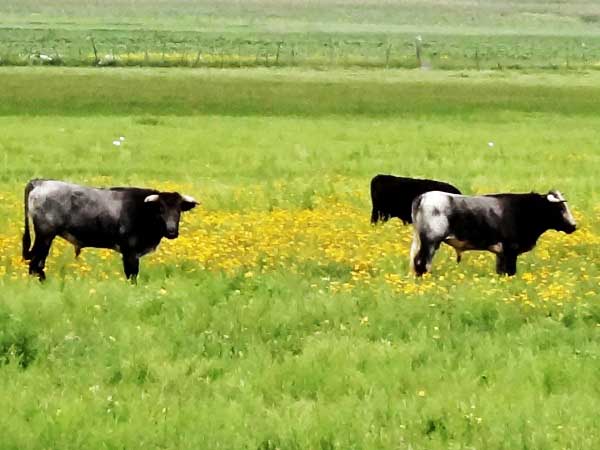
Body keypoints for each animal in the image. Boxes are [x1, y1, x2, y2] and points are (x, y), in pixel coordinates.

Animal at [22, 179, 198, 282]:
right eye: (160, 209)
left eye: (179, 210)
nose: (172, 231)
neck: (144, 210)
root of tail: (40, 182)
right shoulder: (130, 252)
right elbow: (132, 275)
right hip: (44, 236)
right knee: (35, 264)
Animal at [410, 189, 576, 276]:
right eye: (560, 208)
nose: (574, 226)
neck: (522, 211)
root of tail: (424, 196)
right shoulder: (510, 250)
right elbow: (510, 271)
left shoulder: (501, 253)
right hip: (430, 242)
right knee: (421, 263)